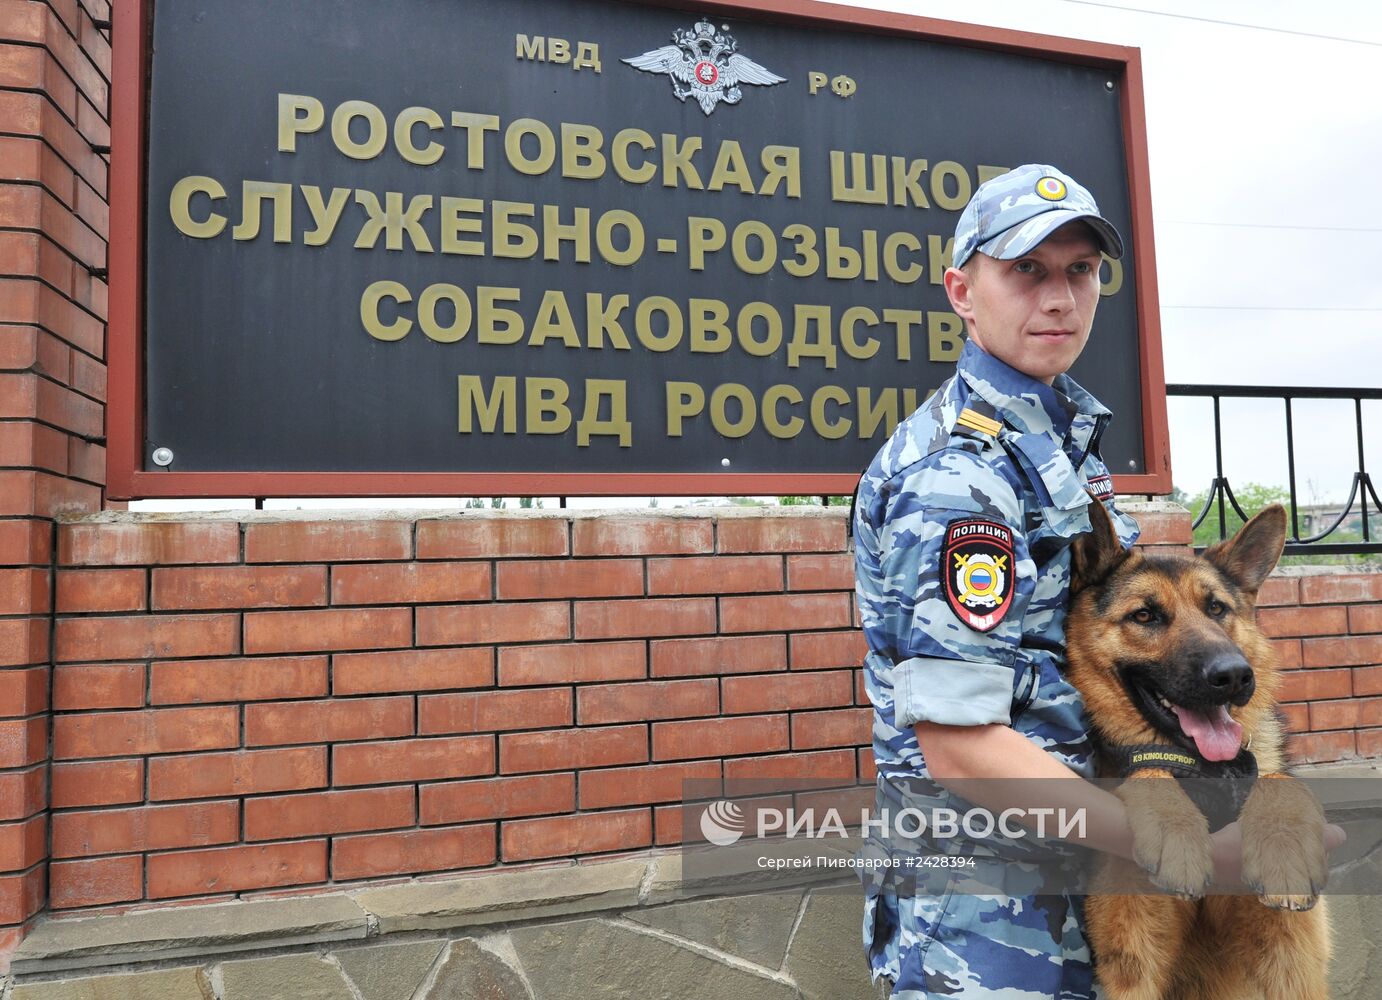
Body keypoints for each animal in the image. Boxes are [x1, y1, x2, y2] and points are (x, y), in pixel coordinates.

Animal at [1061, 508, 1332, 1000]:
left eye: (1217, 609)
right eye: (1144, 615)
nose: (1234, 676)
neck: (1204, 772)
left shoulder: (1291, 953)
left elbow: (1275, 779)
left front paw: (1283, 845)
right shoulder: (1129, 950)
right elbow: (1148, 771)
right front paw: (1176, 831)